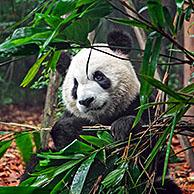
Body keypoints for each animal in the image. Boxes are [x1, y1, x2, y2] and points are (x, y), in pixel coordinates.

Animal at [50, 30, 182, 194]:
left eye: (99, 76)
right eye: (75, 86)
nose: (86, 100)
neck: (105, 117)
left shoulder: (141, 104)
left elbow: (149, 150)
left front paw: (123, 128)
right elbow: (66, 148)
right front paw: (75, 128)